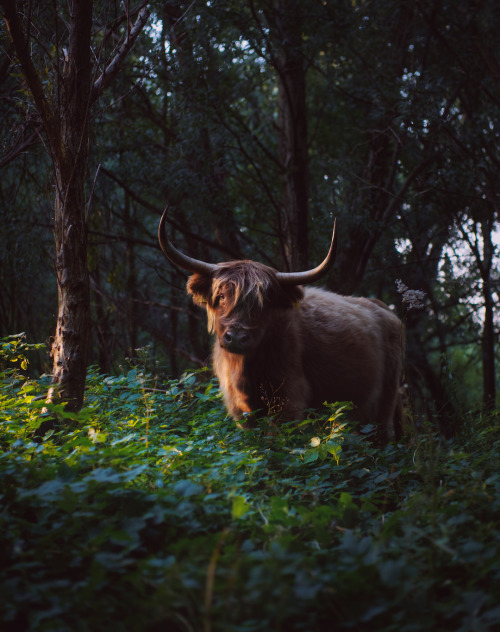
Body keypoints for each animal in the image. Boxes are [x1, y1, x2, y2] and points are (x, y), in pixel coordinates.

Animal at [158, 207, 404, 440]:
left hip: (383, 403)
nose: (235, 337)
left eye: (264, 302)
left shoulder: (288, 401)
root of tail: (386, 310)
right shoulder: (240, 409)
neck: (246, 370)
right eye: (220, 296)